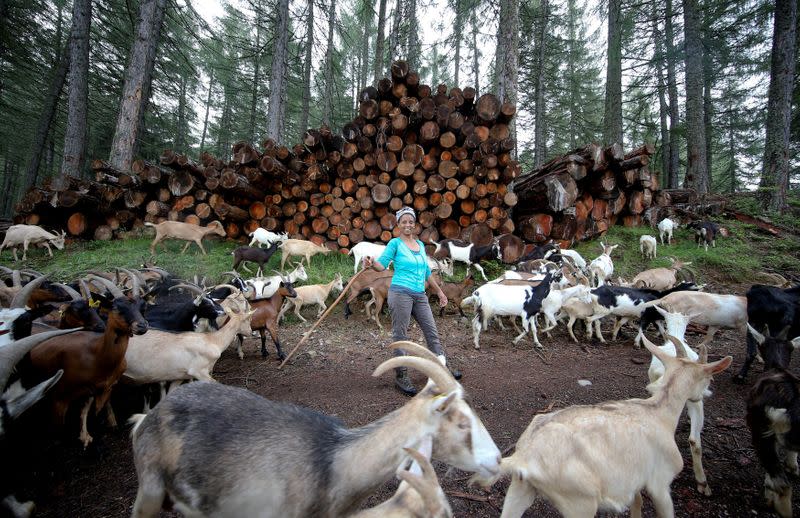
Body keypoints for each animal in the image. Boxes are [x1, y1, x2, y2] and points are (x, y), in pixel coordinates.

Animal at [476, 336, 732, 516]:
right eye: (708, 378)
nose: (706, 395)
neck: (659, 413)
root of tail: (525, 456)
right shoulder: (660, 483)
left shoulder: (635, 481)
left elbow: (637, 505)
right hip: (580, 502)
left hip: (520, 489)